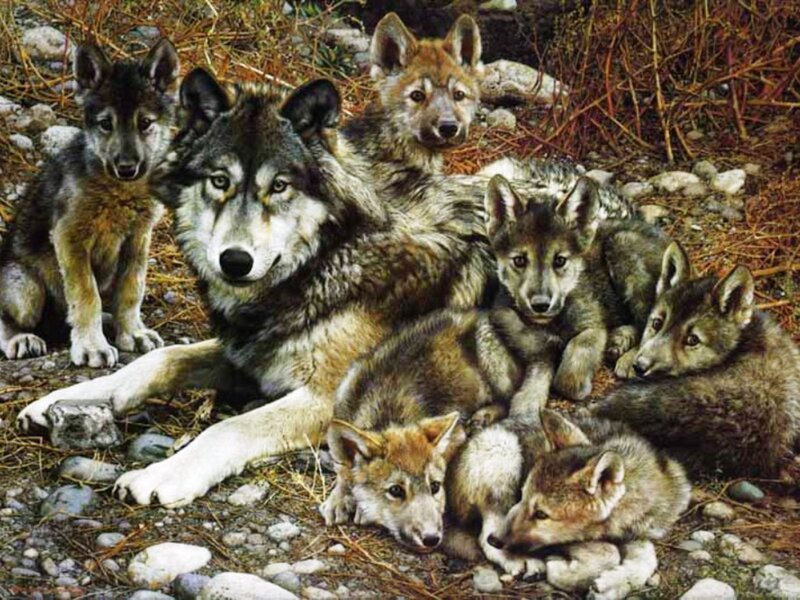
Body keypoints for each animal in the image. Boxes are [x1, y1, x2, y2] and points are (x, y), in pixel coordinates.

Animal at [0, 39, 179, 367]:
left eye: (145, 123)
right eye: (106, 124)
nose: (126, 168)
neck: (119, 192)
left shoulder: (138, 238)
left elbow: (131, 290)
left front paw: (132, 333)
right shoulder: (69, 237)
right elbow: (86, 296)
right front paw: (92, 347)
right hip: (25, 290)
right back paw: (23, 339)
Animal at [16, 70, 493, 507]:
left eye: (278, 186)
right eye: (219, 181)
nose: (235, 261)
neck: (330, 257)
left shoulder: (330, 400)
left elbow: (227, 427)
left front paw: (163, 474)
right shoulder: (249, 352)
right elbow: (157, 360)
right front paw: (65, 399)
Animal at [452, 410, 689, 598]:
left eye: (541, 514)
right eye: (521, 496)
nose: (496, 540)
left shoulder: (637, 534)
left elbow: (647, 561)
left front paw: (613, 583)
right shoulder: (568, 539)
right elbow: (609, 553)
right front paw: (564, 573)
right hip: (503, 454)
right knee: (483, 536)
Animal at [485, 174, 669, 400]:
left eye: (560, 260)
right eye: (519, 260)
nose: (540, 305)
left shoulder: (593, 327)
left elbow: (568, 374)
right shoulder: (501, 314)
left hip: (623, 244)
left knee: (649, 321)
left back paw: (628, 358)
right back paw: (618, 341)